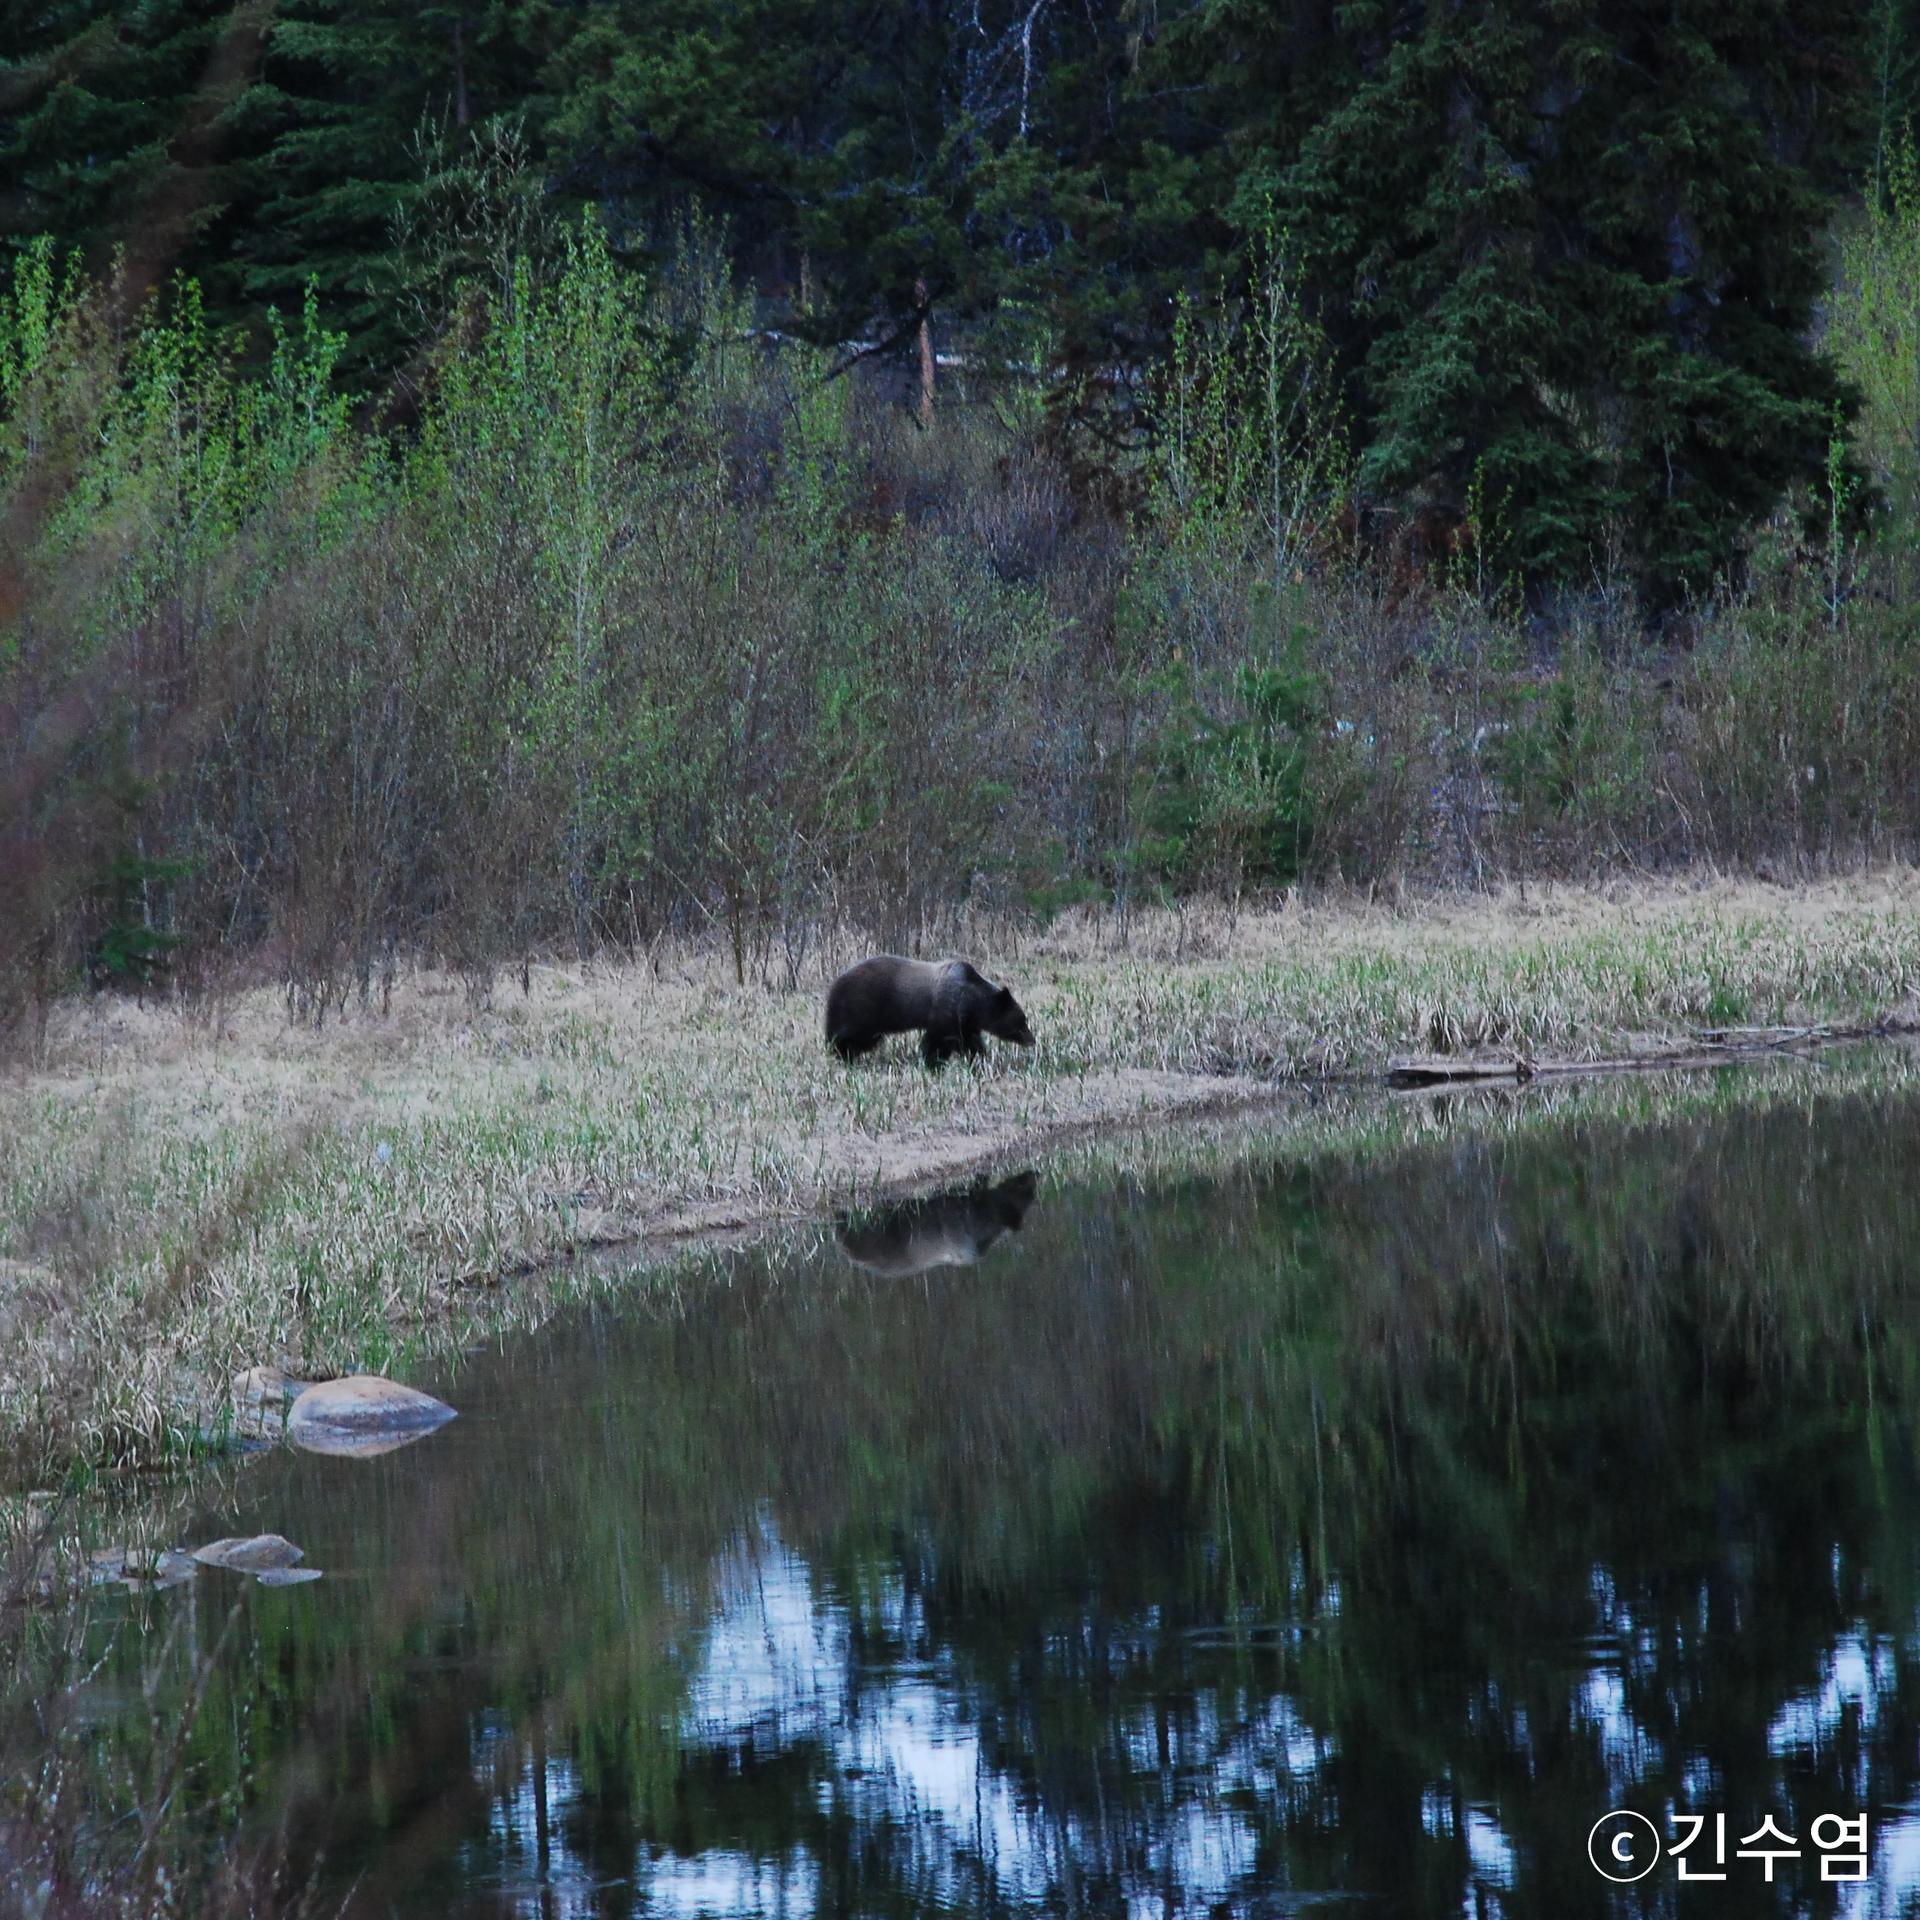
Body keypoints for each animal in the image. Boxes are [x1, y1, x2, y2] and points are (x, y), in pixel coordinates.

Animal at [825, 956, 1036, 1075]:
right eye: (1021, 1020)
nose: (1032, 1040)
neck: (971, 999)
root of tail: (834, 985)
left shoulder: (966, 1022)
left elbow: (970, 1042)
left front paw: (977, 1059)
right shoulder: (945, 1010)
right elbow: (937, 1041)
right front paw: (934, 1064)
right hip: (863, 1009)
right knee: (852, 1037)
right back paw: (842, 1054)